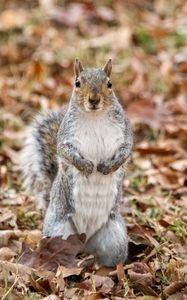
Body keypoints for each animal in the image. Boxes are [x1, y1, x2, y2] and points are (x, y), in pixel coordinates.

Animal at [21, 59, 133, 268]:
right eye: (77, 83)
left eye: (109, 84)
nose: (94, 100)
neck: (95, 117)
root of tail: (84, 240)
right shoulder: (66, 137)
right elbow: (66, 152)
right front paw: (86, 166)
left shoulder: (125, 134)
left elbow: (125, 151)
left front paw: (108, 167)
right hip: (57, 233)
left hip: (115, 238)